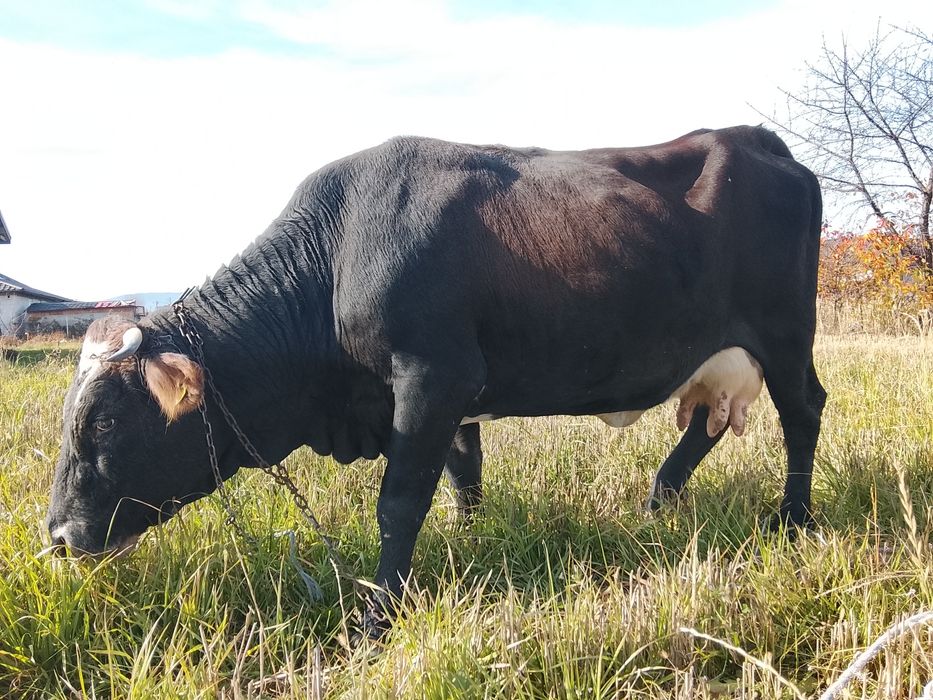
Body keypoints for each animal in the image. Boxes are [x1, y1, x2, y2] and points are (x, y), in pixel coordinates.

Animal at [46, 125, 826, 638]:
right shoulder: (447, 395)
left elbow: (399, 502)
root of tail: (752, 137)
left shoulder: (430, 378)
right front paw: (472, 541)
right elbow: (461, 477)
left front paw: (375, 616)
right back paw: (658, 505)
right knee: (704, 428)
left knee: (804, 411)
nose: (57, 537)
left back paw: (792, 521)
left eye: (104, 421)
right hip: (718, 358)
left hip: (786, 335)